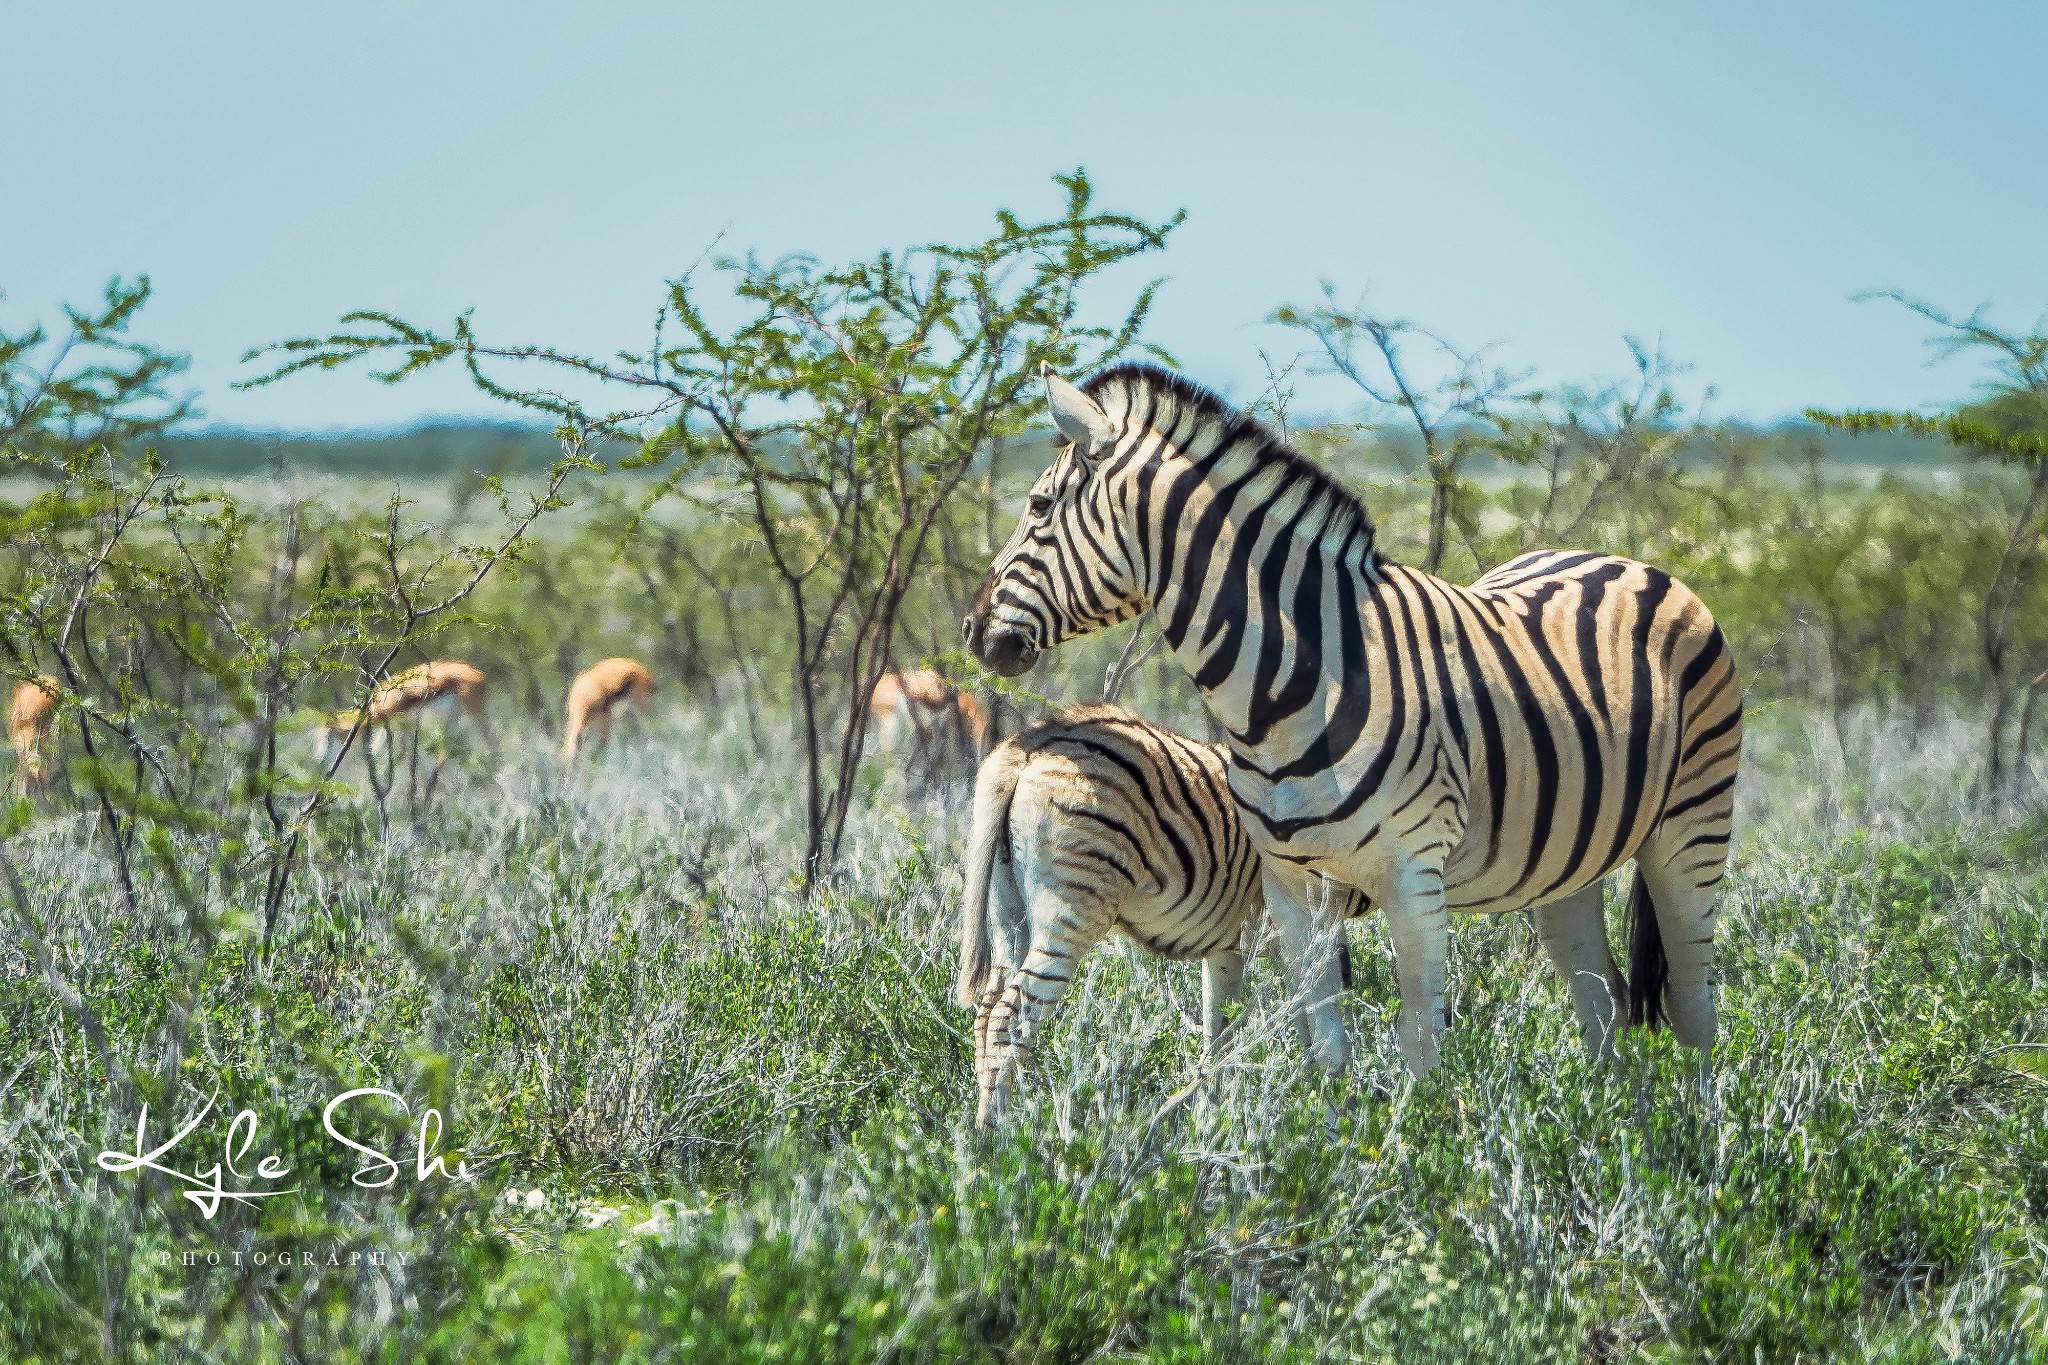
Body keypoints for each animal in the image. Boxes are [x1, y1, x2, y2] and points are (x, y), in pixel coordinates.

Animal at [962, 366, 1744, 1080]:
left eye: (1038, 505)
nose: (972, 629)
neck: (1289, 689)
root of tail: (1631, 562)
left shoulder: (1413, 872)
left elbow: (1420, 1041)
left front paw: (1423, 1141)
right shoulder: (1291, 883)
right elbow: (1327, 1045)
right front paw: (1335, 1143)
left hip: (1692, 827)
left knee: (1694, 1007)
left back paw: (1696, 1139)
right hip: (1564, 862)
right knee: (1604, 1004)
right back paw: (1620, 1129)